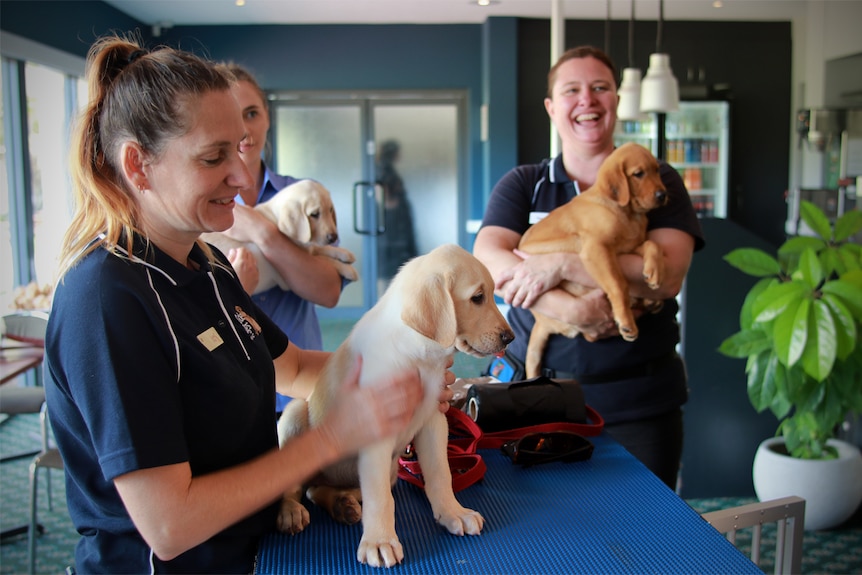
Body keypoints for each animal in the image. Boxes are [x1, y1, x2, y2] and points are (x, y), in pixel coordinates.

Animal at [280, 243, 516, 568]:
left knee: (320, 489)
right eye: (477, 297)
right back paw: (291, 511)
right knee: (297, 488)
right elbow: (381, 498)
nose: (510, 338)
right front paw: (380, 541)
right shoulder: (376, 428)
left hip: (386, 471)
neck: (418, 355)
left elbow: (440, 473)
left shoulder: (435, 420)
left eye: (493, 293)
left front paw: (453, 512)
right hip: (294, 416)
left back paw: (343, 503)